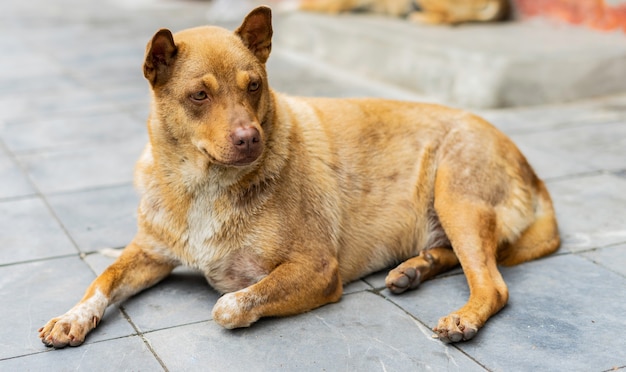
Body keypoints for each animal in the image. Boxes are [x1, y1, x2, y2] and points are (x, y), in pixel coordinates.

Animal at [37, 6, 556, 348]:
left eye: (254, 86)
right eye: (199, 96)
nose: (250, 138)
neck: (202, 186)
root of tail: (531, 168)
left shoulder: (317, 268)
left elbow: (229, 304)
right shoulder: (148, 252)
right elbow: (101, 280)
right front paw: (71, 317)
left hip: (455, 195)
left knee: (492, 283)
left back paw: (461, 314)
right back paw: (415, 268)